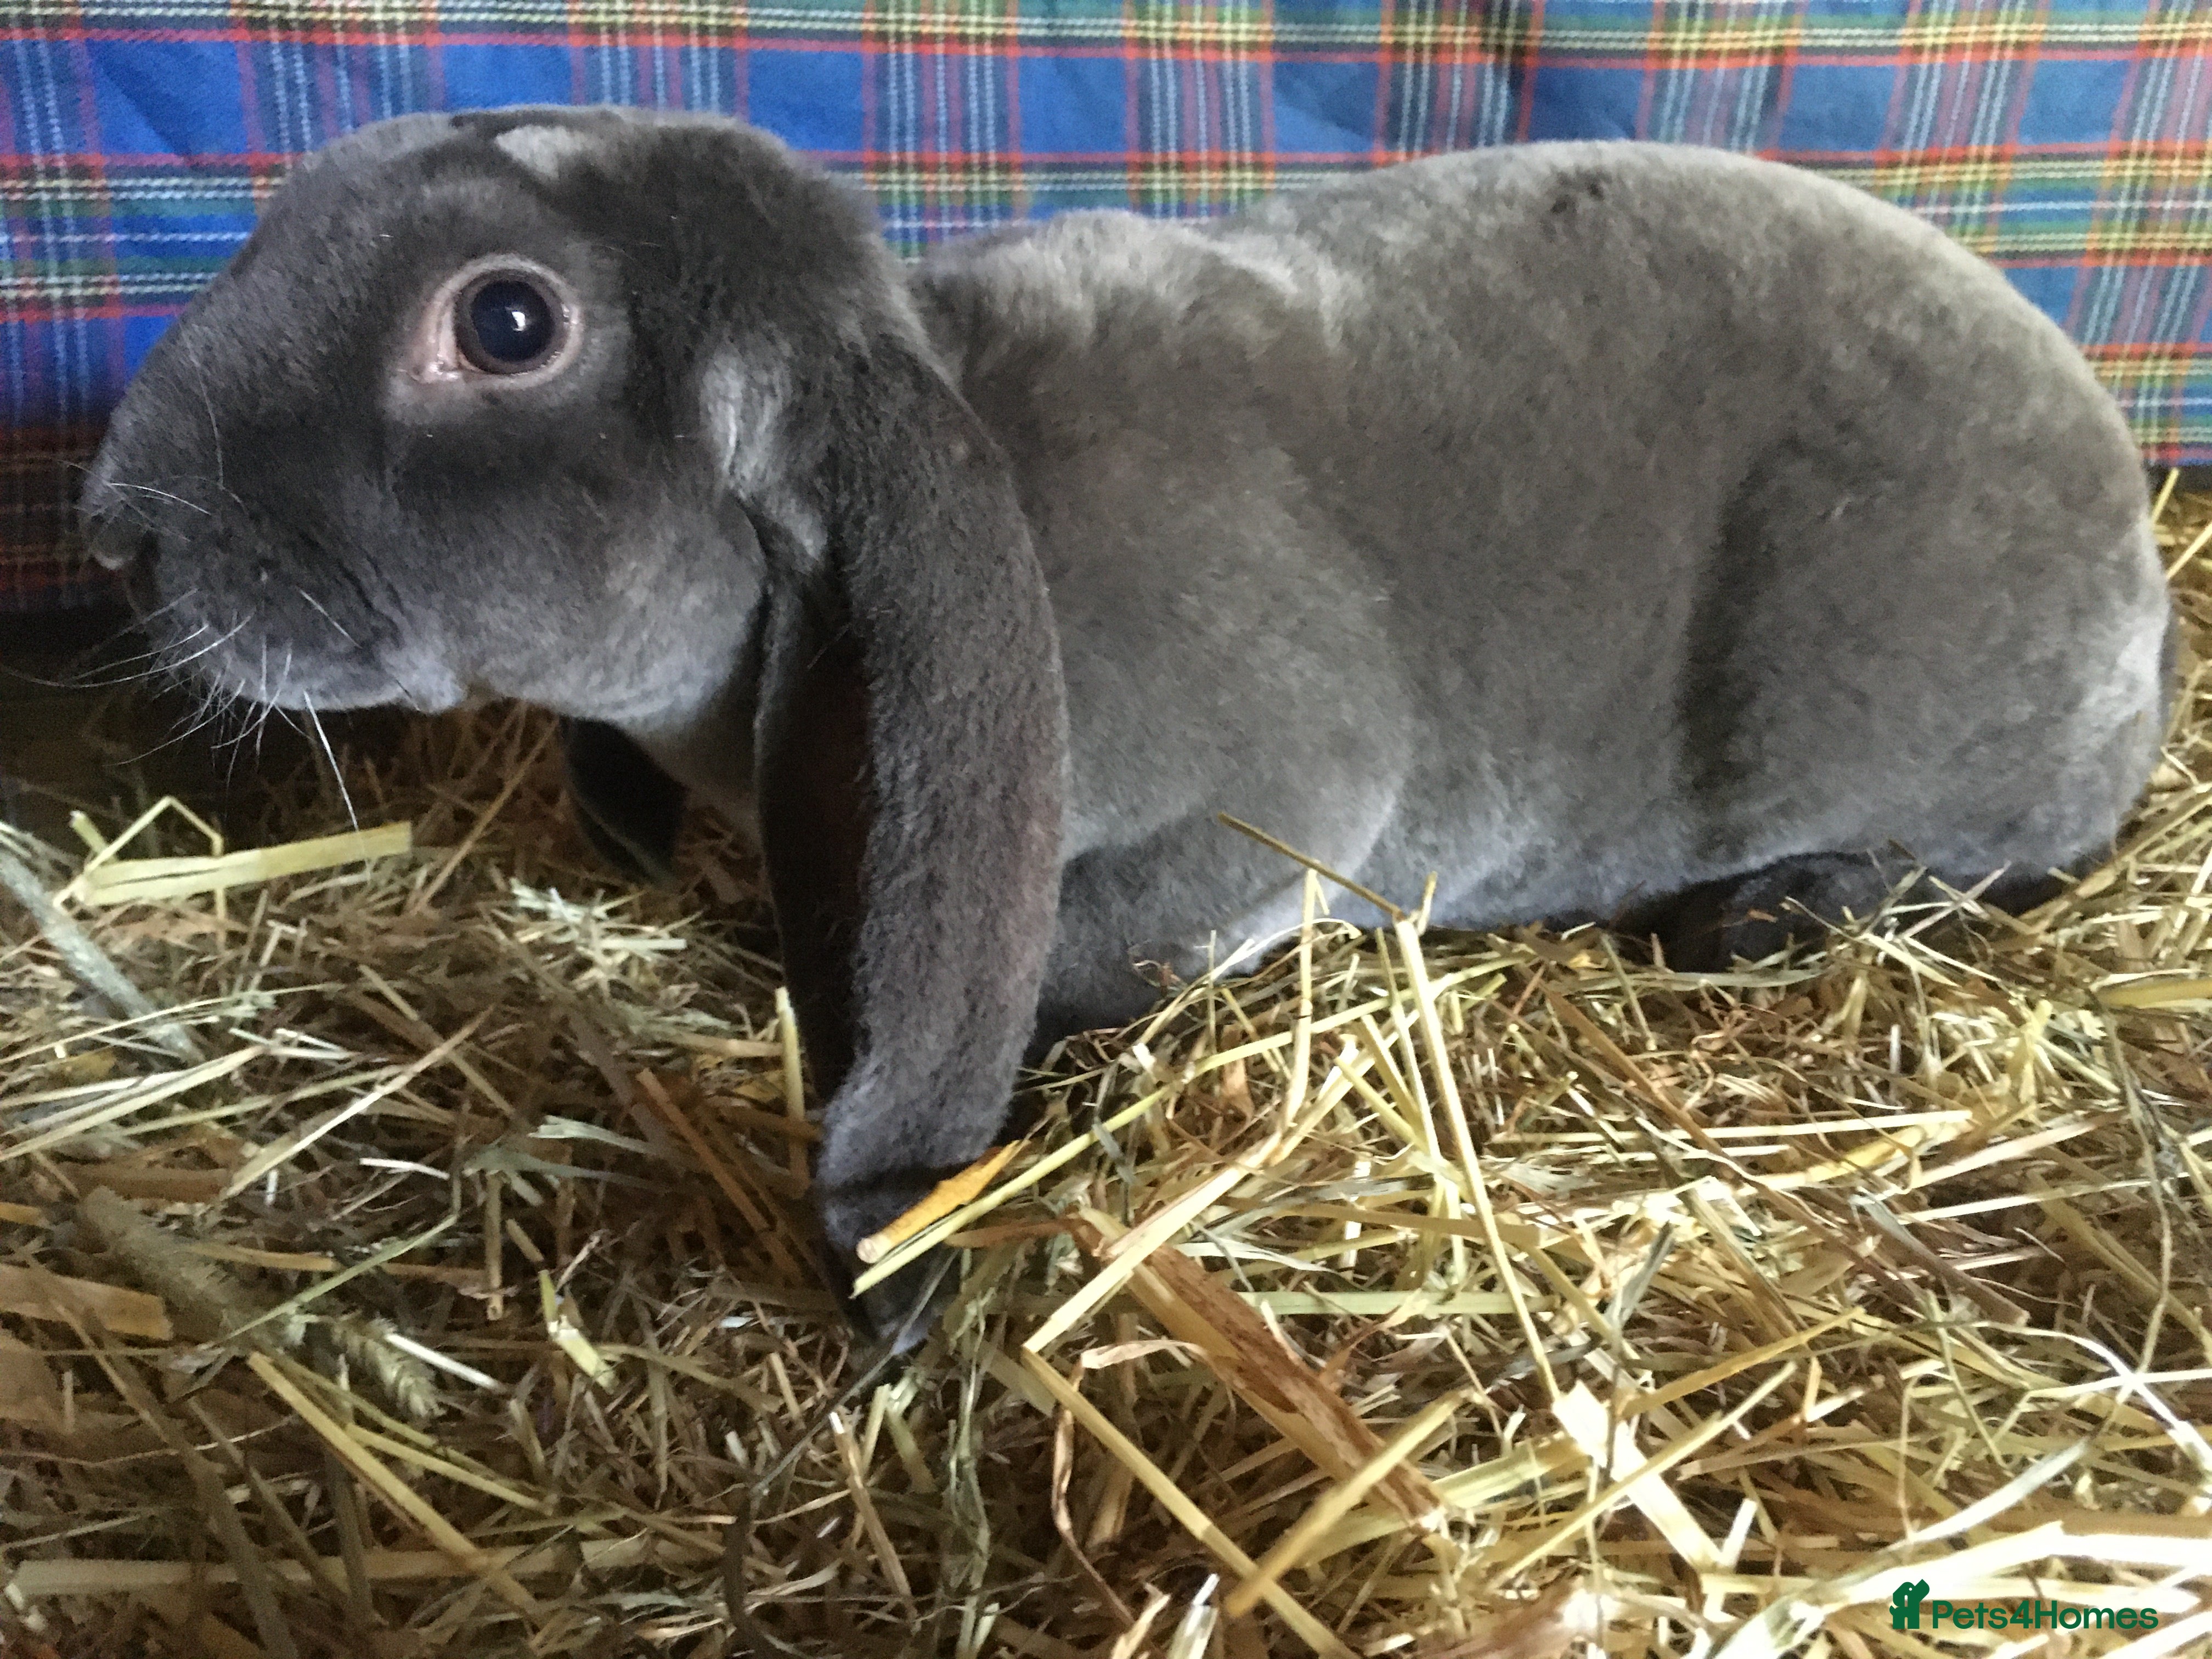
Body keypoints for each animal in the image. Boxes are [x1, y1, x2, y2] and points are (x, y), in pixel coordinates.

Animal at [80, 106, 2172, 1341]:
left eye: (506, 325)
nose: (115, 531)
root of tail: (2140, 579)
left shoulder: (1281, 811)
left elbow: (1074, 953)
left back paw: (1763, 913)